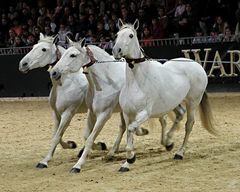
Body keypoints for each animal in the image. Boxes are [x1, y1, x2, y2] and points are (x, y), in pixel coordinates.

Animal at [49, 37, 186, 172]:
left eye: (73, 55)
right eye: (63, 54)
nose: (54, 72)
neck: (105, 82)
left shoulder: (103, 115)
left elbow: (90, 139)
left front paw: (77, 165)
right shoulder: (92, 112)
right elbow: (87, 136)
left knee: (163, 120)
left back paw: (167, 143)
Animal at [111, 18, 217, 172]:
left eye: (131, 35)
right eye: (117, 34)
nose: (116, 51)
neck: (136, 83)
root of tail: (197, 65)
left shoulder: (145, 113)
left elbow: (131, 129)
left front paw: (131, 158)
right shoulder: (127, 113)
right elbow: (130, 132)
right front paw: (126, 163)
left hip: (193, 102)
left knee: (189, 124)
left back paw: (179, 153)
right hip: (174, 102)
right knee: (180, 114)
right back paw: (168, 142)